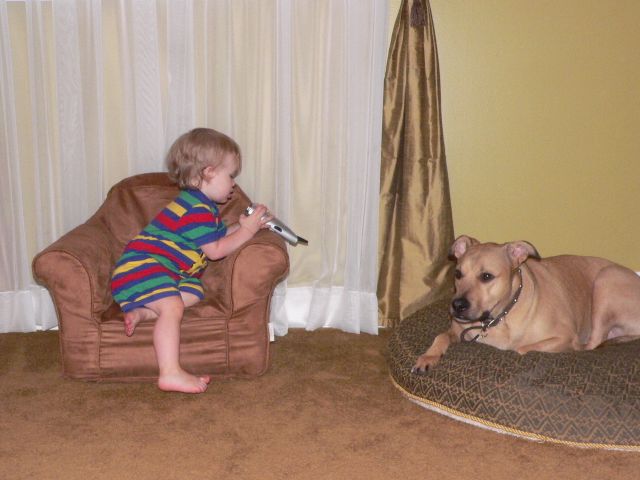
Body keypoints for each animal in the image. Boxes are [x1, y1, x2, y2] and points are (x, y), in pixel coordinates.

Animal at [411, 235, 640, 373]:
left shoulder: (563, 336)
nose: (457, 305)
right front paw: (428, 357)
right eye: (458, 274)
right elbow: (441, 336)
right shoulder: (457, 330)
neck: (499, 316)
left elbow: (520, 349)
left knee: (592, 343)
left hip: (605, 280)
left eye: (486, 276)